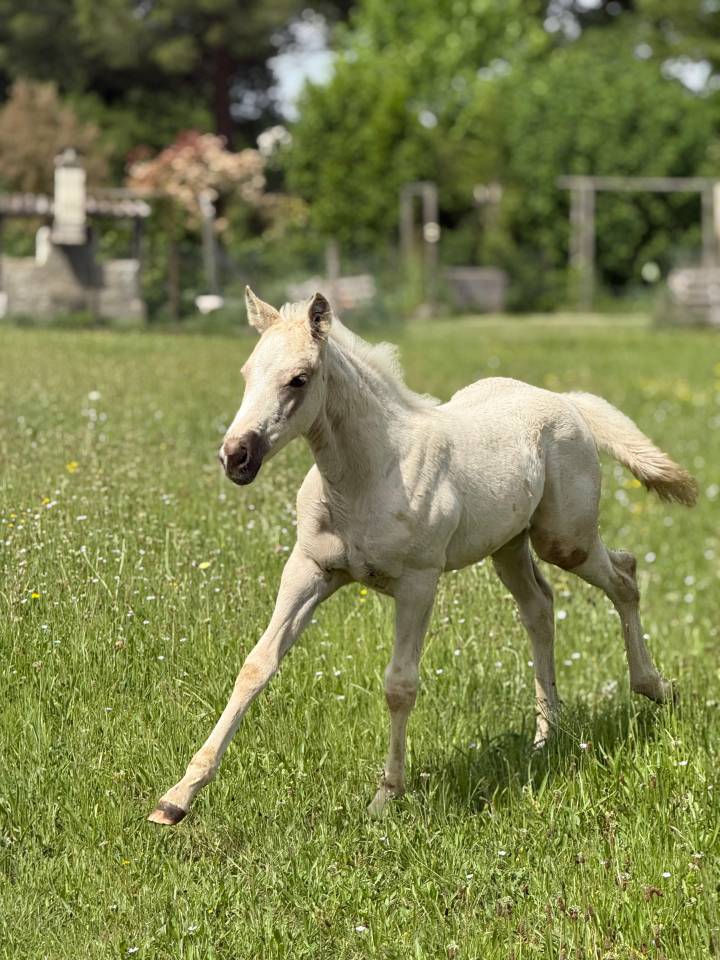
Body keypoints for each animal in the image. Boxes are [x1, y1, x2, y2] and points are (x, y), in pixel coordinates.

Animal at [148, 288, 697, 825]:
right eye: (246, 373)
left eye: (298, 379)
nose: (235, 457)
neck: (365, 478)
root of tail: (565, 400)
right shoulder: (309, 569)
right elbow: (256, 665)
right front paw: (176, 798)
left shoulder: (417, 583)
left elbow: (400, 685)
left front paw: (386, 796)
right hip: (508, 545)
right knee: (539, 608)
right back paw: (547, 736)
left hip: (564, 539)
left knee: (624, 575)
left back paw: (659, 690)